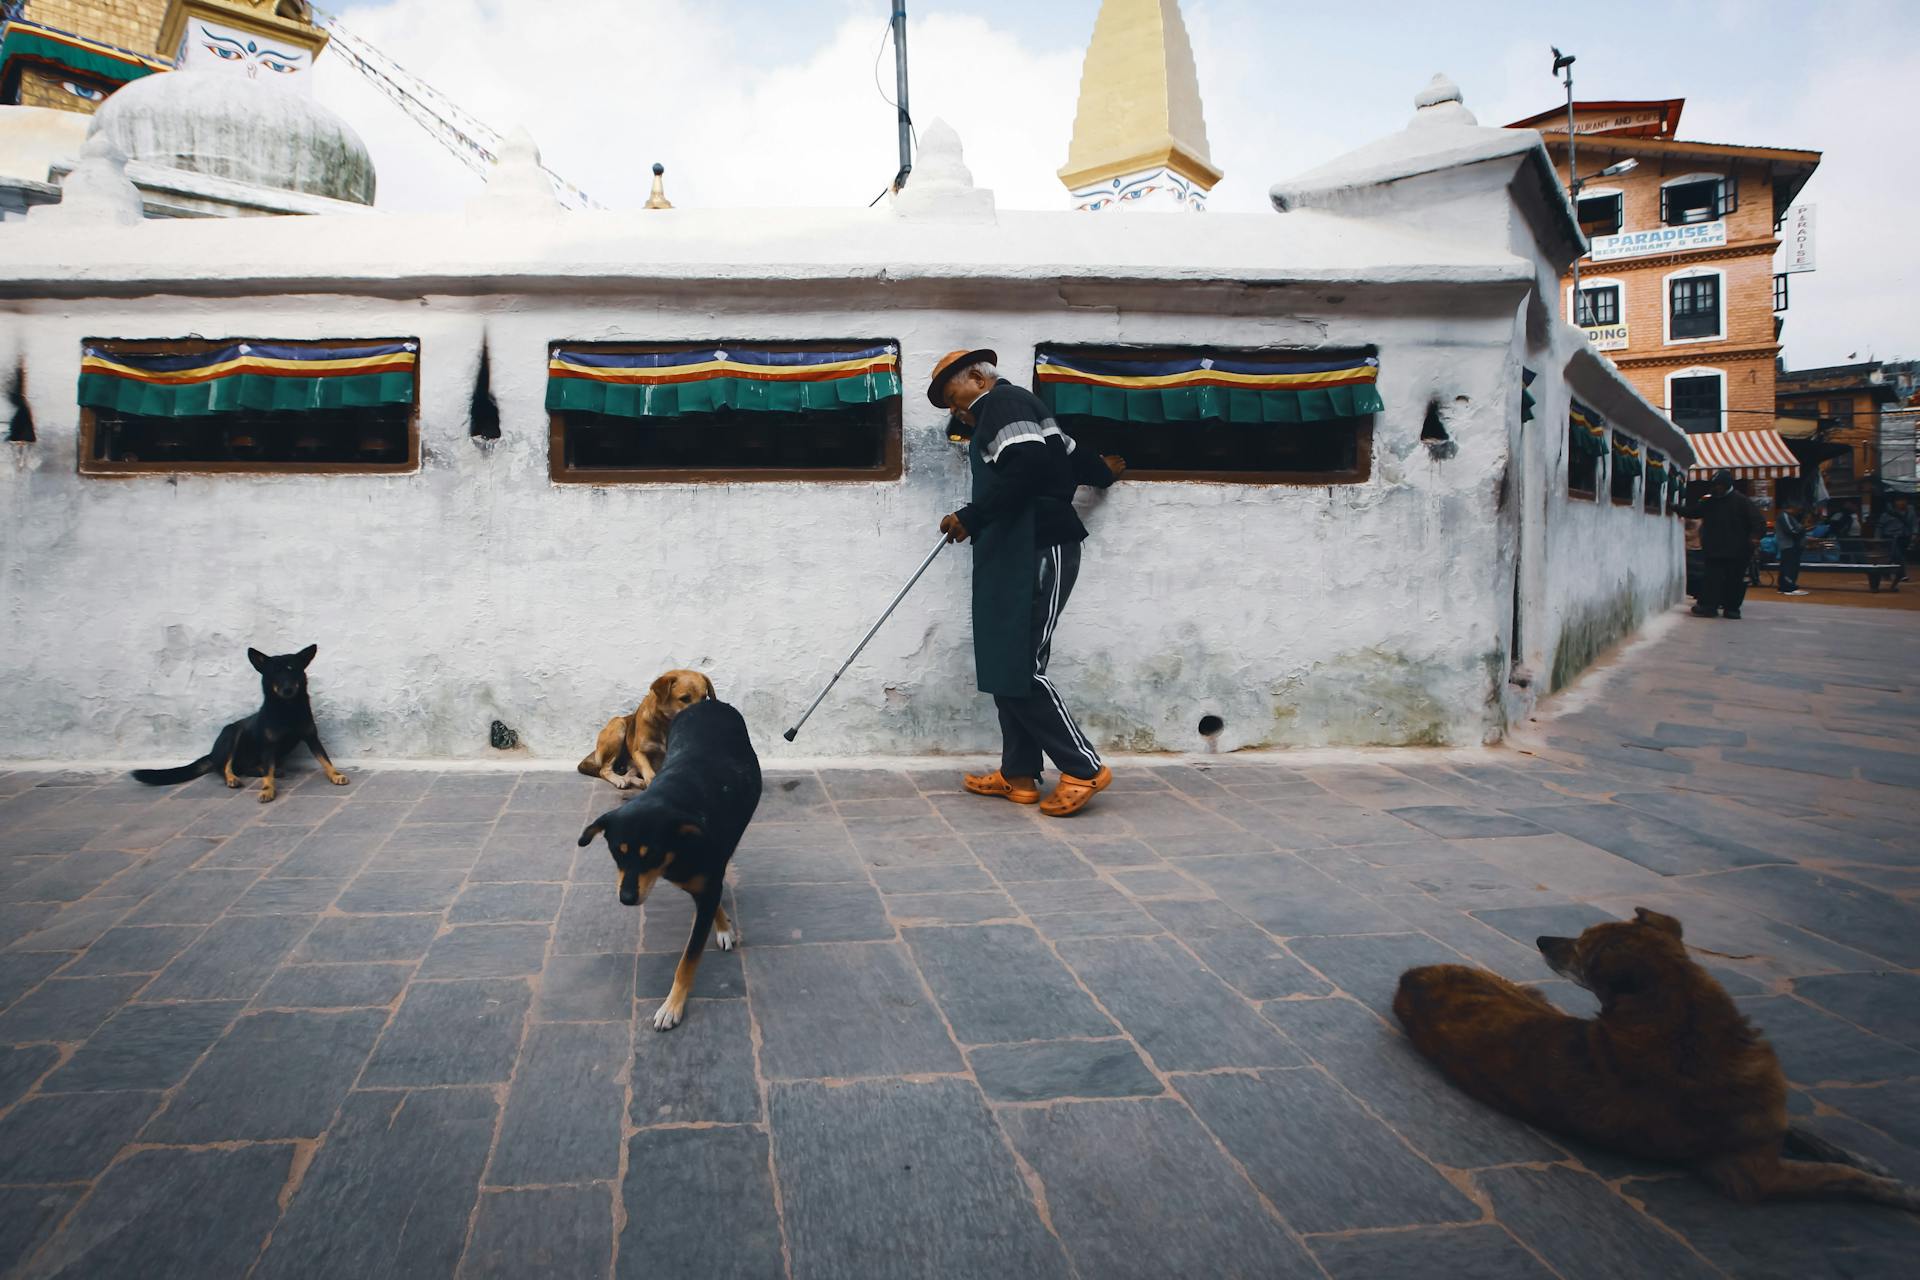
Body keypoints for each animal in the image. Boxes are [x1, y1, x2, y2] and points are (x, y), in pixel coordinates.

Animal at [579, 671, 718, 790]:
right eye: (684, 698)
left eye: (704, 697)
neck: (666, 724)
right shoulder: (638, 752)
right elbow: (649, 773)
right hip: (618, 726)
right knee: (604, 770)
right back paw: (620, 780)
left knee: (629, 774)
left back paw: (637, 782)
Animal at [1397, 909, 1920, 1212]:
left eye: (1582, 944)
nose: (1542, 939)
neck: (1685, 1023)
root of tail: (1410, 977)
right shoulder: (1755, 1174)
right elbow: (1838, 1177)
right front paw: (1900, 1192)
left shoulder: (1765, 1118)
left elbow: (1815, 1140)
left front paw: (1872, 1162)